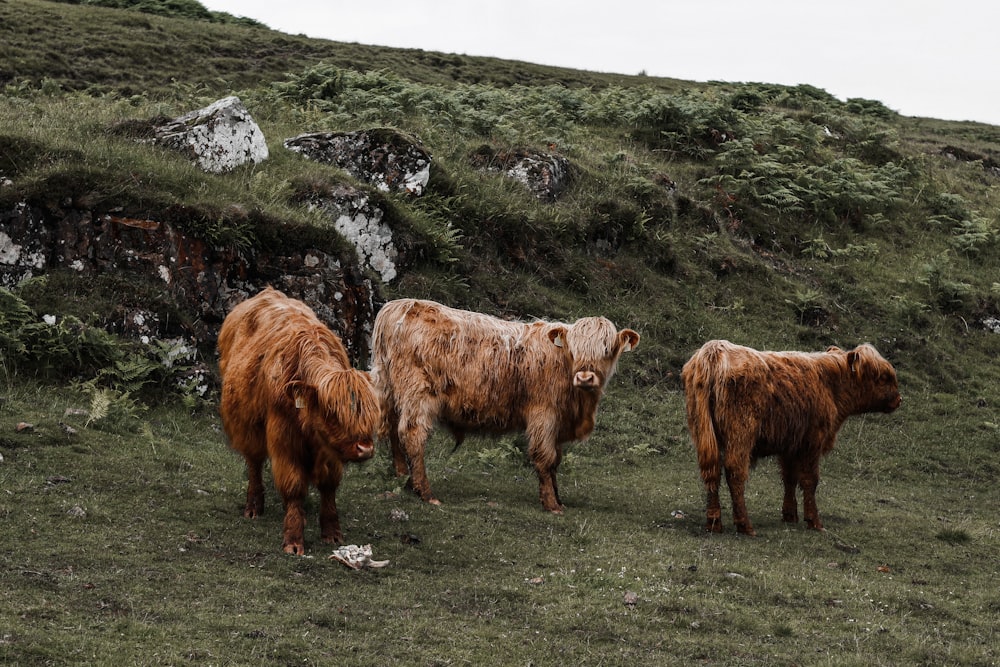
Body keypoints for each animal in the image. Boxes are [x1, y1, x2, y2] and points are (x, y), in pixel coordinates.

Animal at [219, 290, 378, 556]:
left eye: (368, 412)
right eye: (332, 413)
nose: (365, 449)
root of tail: (267, 291)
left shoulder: (330, 447)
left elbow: (328, 485)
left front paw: (332, 532)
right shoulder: (284, 439)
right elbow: (293, 487)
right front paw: (293, 540)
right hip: (247, 423)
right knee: (254, 463)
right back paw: (253, 506)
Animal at [370, 298, 640, 512]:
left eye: (607, 349)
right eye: (574, 349)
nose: (585, 377)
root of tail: (400, 305)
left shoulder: (558, 423)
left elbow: (556, 460)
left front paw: (558, 499)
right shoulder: (544, 415)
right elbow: (545, 457)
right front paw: (551, 505)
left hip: (391, 390)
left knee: (393, 430)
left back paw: (403, 477)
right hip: (418, 393)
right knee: (412, 434)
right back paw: (426, 493)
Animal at [684, 342, 904, 536]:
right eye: (883, 377)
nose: (899, 399)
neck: (830, 386)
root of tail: (714, 350)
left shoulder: (790, 444)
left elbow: (789, 477)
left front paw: (790, 515)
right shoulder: (812, 441)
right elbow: (810, 480)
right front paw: (814, 521)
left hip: (703, 432)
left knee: (712, 471)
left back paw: (714, 523)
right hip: (740, 434)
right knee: (735, 472)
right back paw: (745, 526)